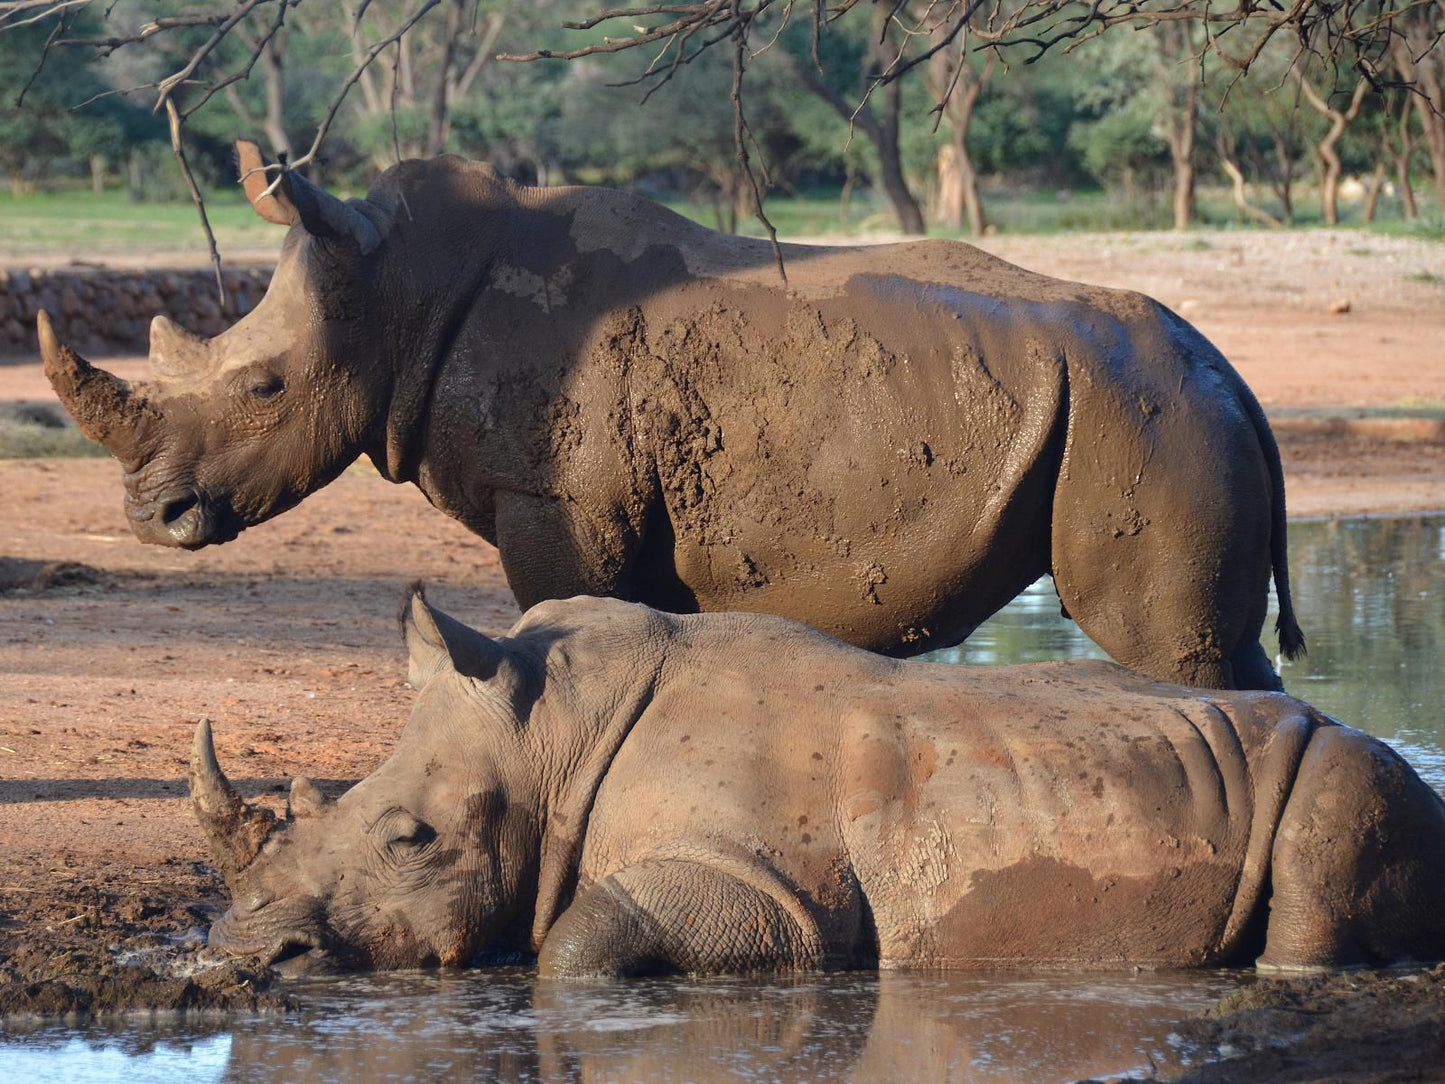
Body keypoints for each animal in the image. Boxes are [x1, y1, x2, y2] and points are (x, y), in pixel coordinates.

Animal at [39, 142, 1306, 687]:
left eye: (262, 388)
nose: (151, 515)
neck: (395, 283)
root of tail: (1232, 373)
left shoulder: (555, 496)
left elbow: (561, 622)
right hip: (1154, 409)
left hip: (1146, 417)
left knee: (1168, 652)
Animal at [195, 589, 1445, 982]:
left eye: (408, 838)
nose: (241, 953)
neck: (548, 735)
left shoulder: (772, 893)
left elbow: (575, 946)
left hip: (1339, 765)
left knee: (1333, 806)